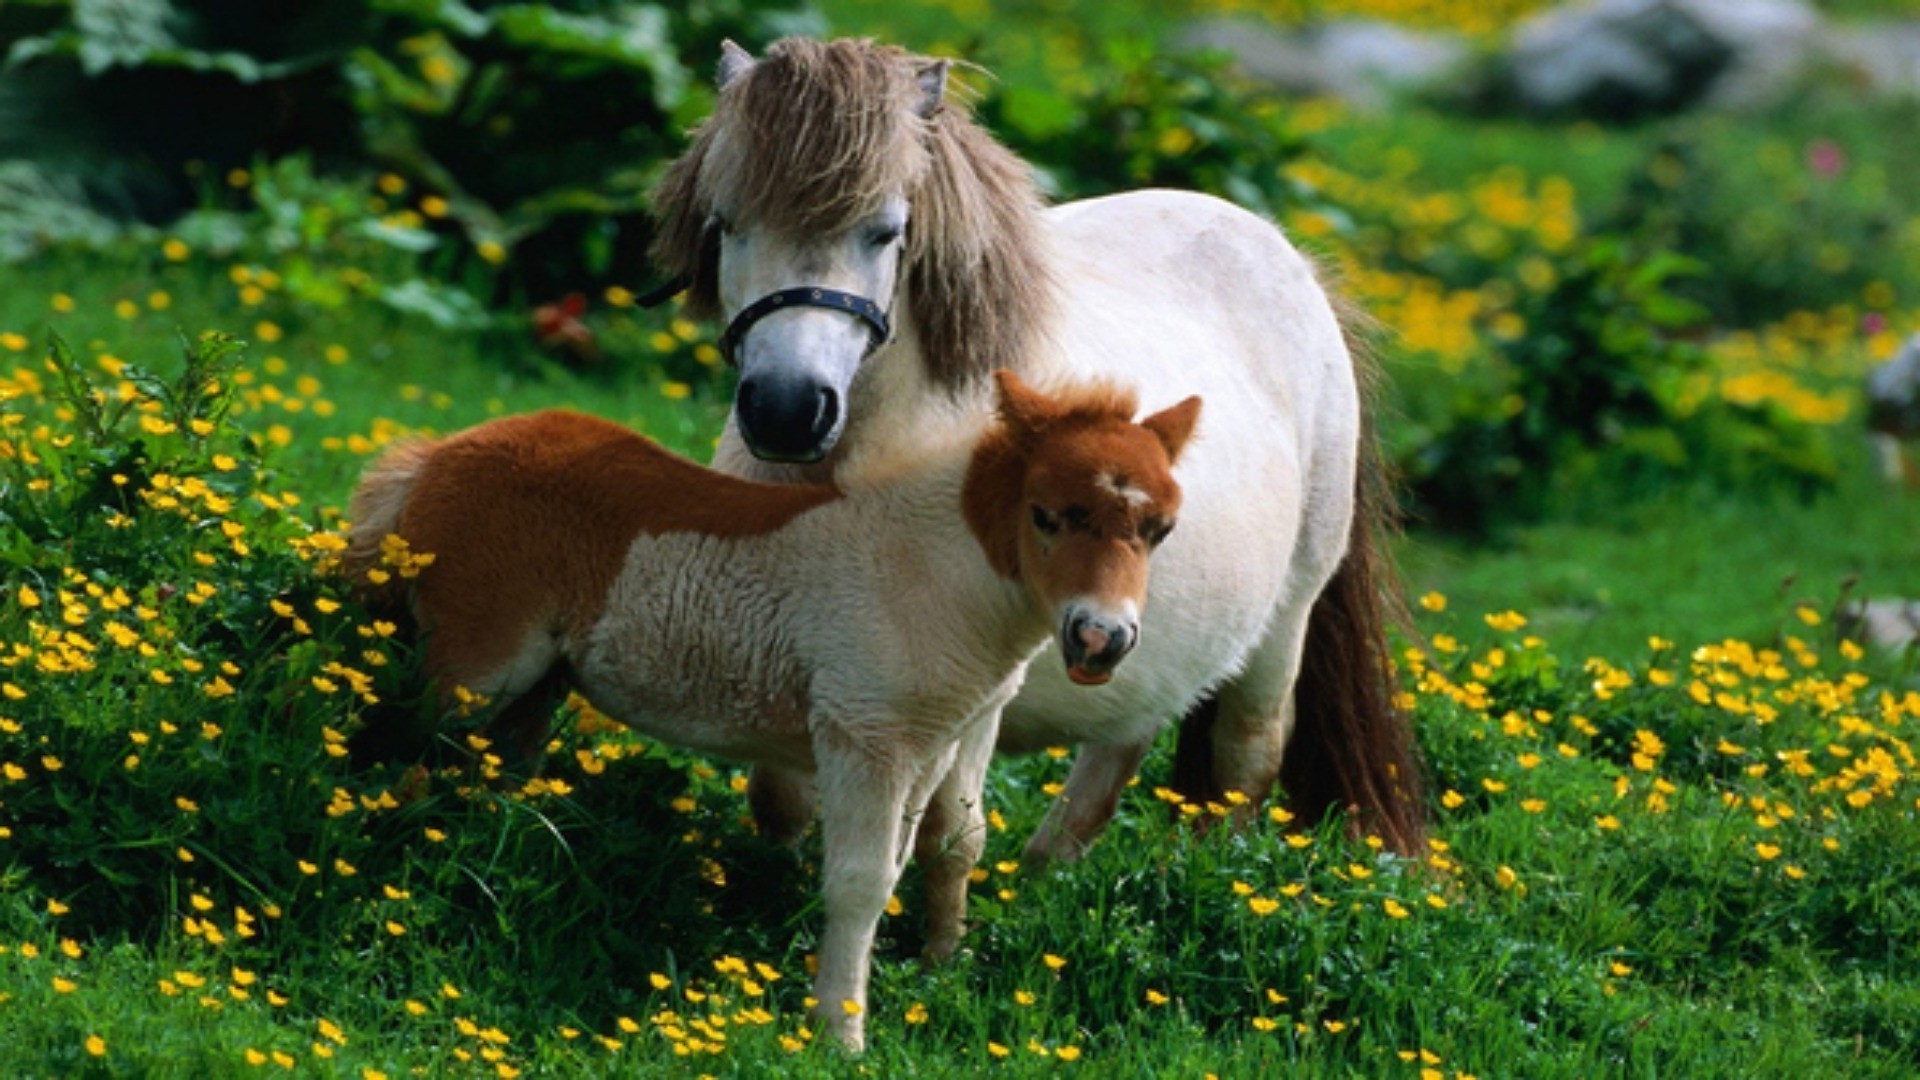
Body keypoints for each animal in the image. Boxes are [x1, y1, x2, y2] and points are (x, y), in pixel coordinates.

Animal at [337, 368, 1190, 1045]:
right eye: (1046, 514)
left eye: (1160, 530)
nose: (1101, 639)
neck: (931, 571)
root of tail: (436, 454)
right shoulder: (862, 738)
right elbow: (859, 882)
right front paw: (840, 1035)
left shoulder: (929, 747)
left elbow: (918, 858)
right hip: (475, 670)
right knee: (399, 755)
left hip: (535, 686)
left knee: (491, 774)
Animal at [648, 35, 1428, 864]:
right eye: (726, 223)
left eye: (885, 231)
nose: (788, 410)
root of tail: (1297, 268)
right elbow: (780, 797)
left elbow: (937, 826)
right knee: (1122, 742)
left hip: (1285, 621)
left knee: (1245, 756)